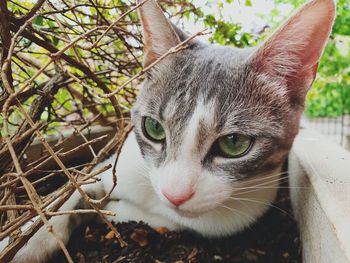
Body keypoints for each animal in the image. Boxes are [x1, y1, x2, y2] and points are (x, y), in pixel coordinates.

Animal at [4, 0, 334, 262]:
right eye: (153, 128)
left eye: (234, 143)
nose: (175, 194)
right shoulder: (111, 167)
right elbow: (68, 197)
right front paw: (27, 242)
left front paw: (114, 209)